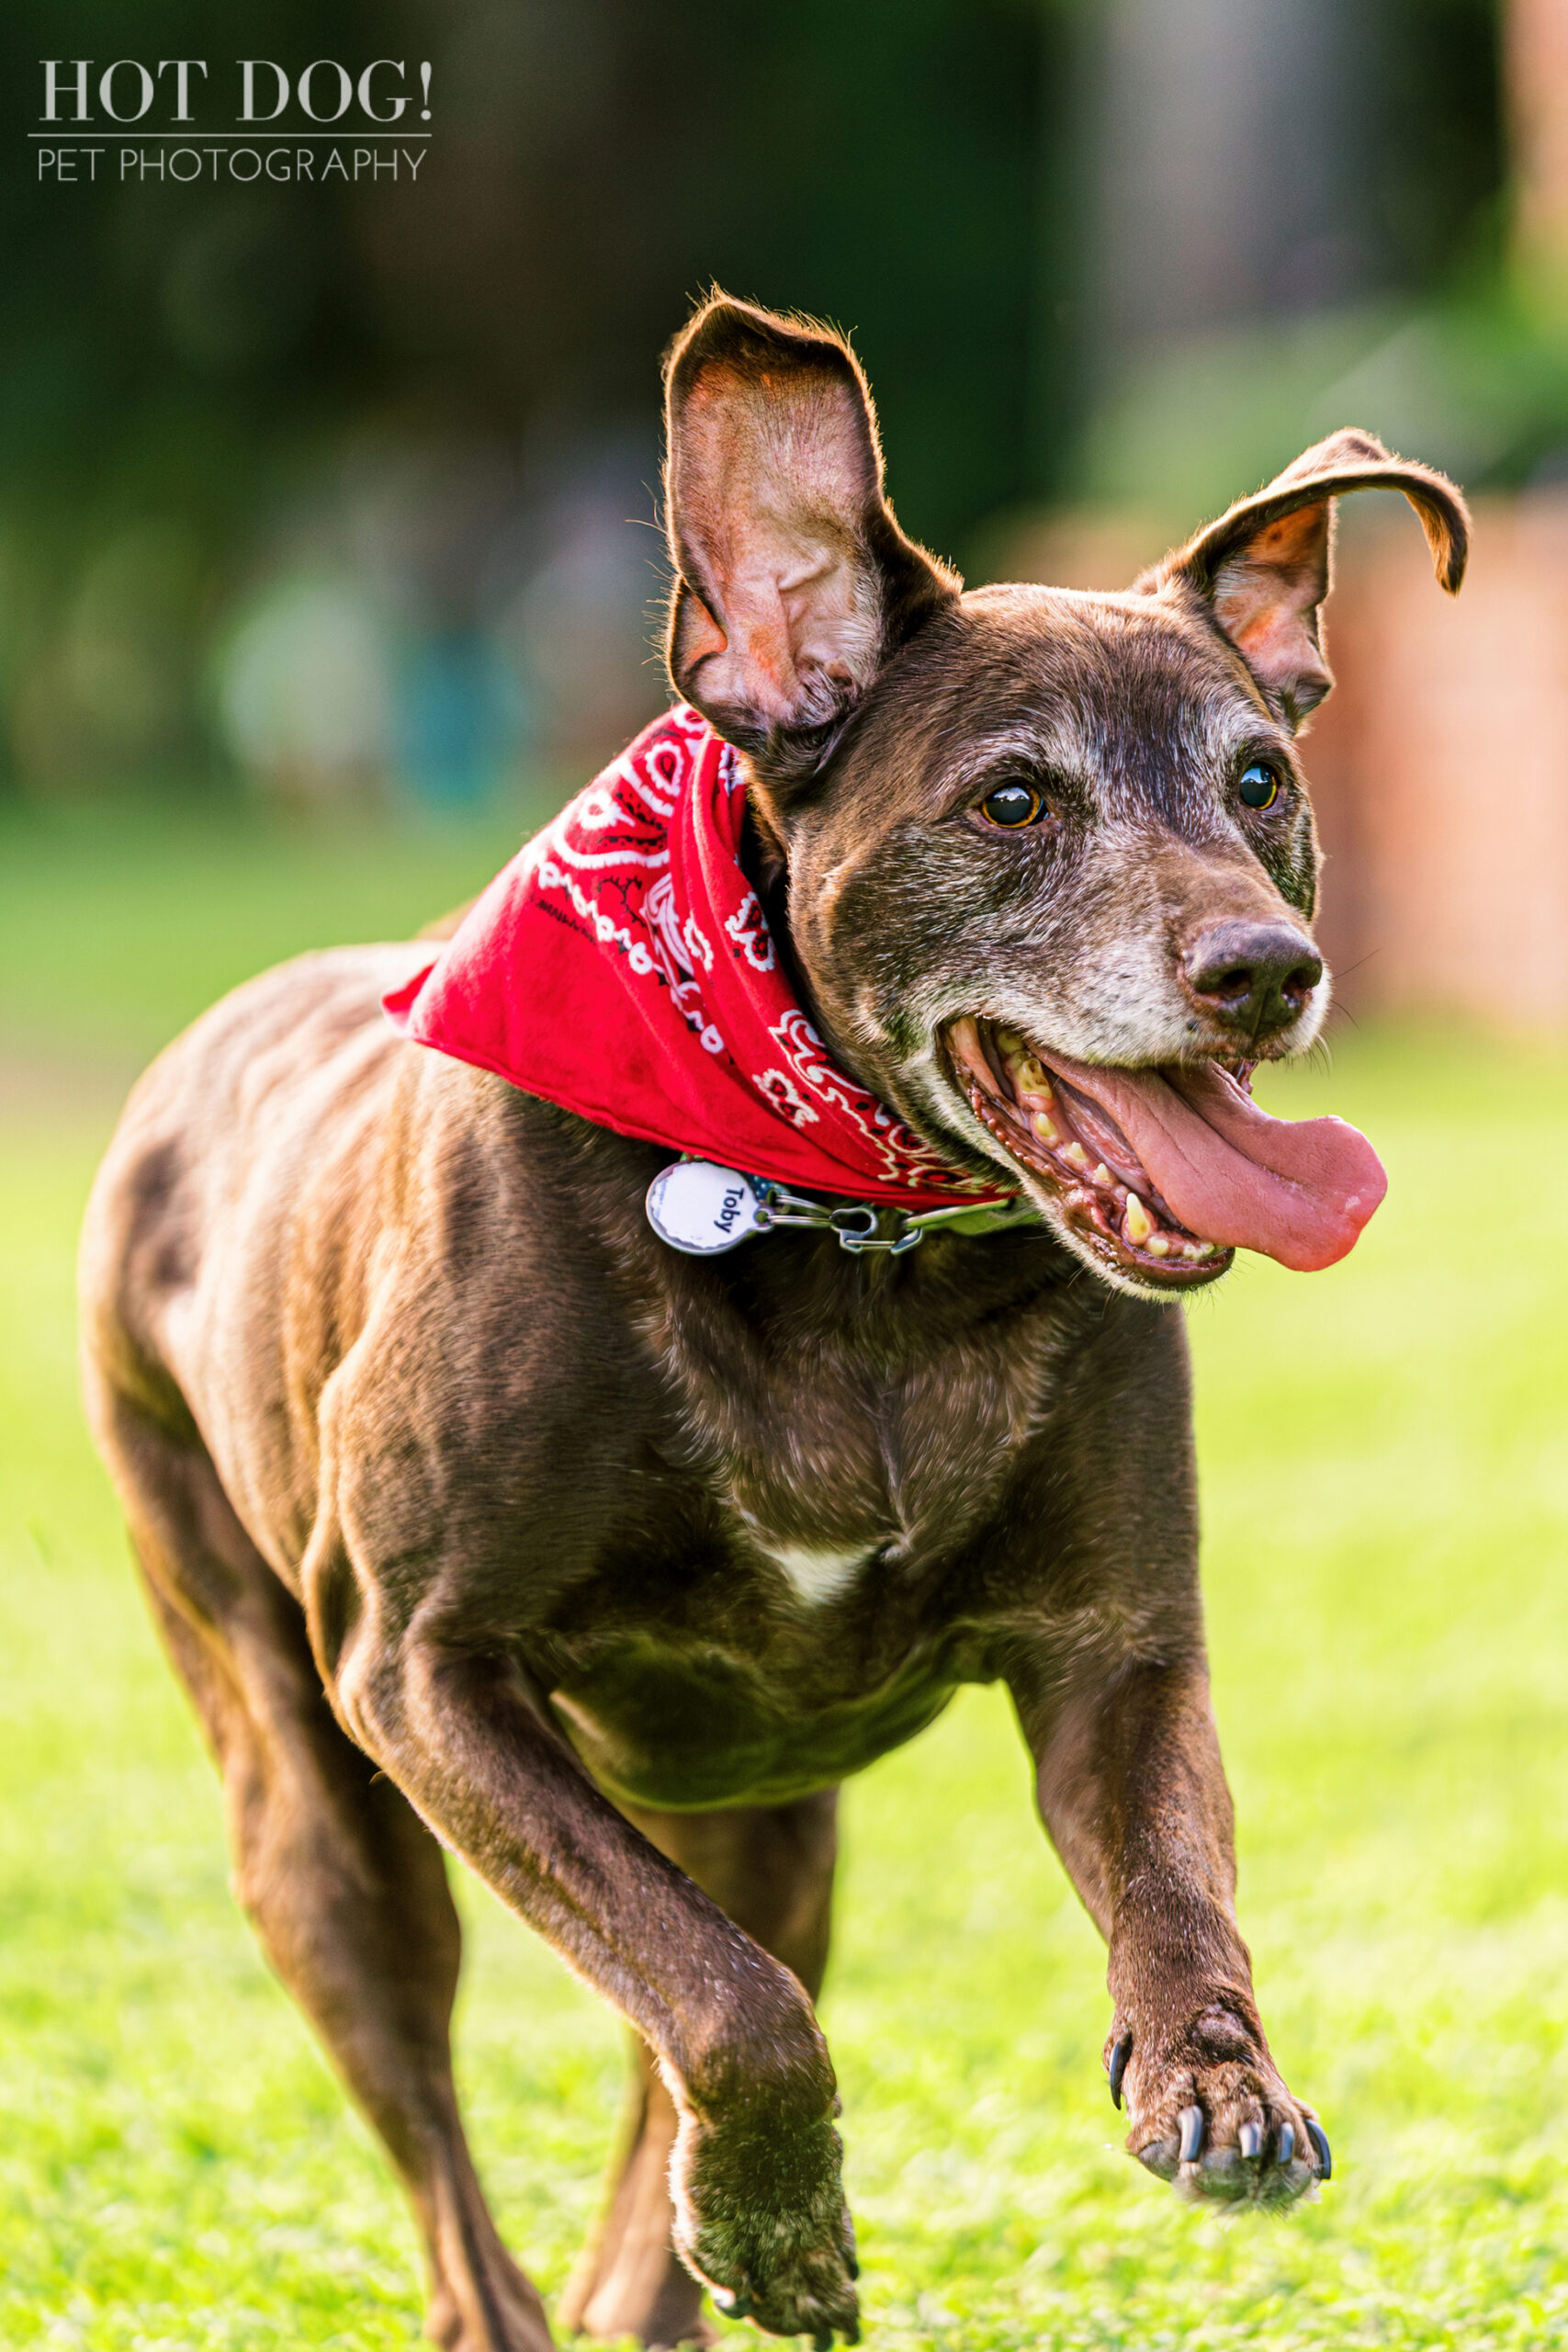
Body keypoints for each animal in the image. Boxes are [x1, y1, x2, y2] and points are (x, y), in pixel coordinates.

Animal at [76, 299, 1476, 2352]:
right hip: (311, 1809)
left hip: (766, 1820)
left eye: (1256, 783)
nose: (1264, 972)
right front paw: (775, 2209)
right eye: (1010, 799)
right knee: (462, 2153)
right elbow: (725, 2002)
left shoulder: (1116, 1652)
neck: (853, 1246)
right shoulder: (425, 1671)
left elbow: (1168, 1888)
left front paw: (1215, 2075)